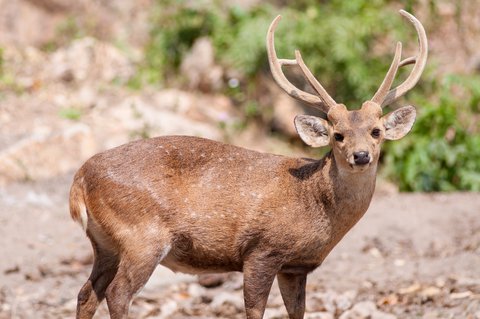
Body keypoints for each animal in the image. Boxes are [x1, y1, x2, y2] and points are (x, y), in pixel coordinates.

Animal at [68, 8, 428, 318]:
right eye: (337, 135)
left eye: (376, 131)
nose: (361, 155)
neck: (315, 203)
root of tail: (80, 178)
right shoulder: (261, 249)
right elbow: (254, 310)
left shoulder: (295, 266)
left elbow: (297, 311)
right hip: (141, 235)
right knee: (118, 293)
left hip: (106, 244)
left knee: (87, 292)